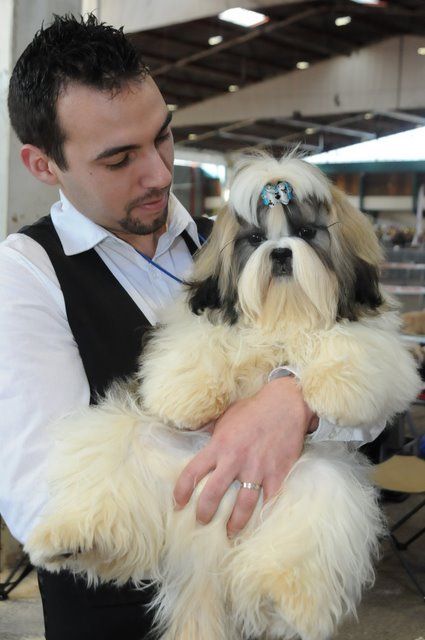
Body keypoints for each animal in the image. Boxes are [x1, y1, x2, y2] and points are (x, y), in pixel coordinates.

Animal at [26, 152, 420, 636]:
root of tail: (203, 544)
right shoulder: (197, 323)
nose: (281, 252)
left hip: (314, 477)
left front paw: (332, 387)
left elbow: (352, 346)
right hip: (136, 442)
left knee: (309, 520)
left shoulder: (379, 341)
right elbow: (197, 344)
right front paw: (188, 393)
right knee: (111, 459)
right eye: (255, 239)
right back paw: (72, 538)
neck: (283, 316)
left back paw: (284, 597)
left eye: (308, 233)